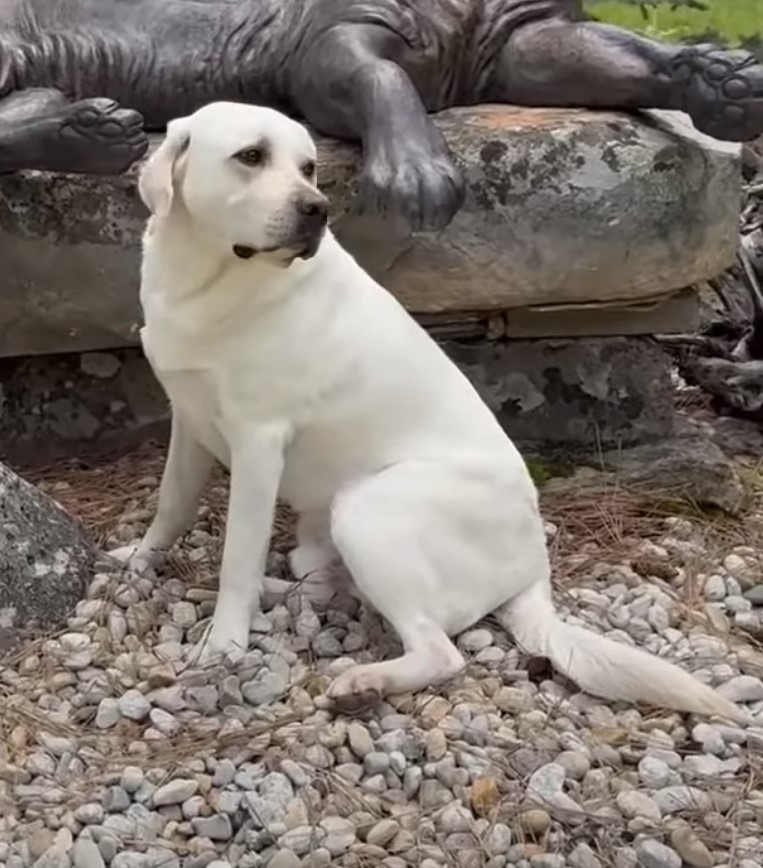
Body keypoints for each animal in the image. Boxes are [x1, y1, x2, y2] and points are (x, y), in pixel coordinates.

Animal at [112, 100, 740, 720]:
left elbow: (238, 556)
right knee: (324, 586)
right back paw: (284, 596)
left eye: (308, 167)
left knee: (438, 650)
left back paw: (364, 681)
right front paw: (140, 560)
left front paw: (224, 643)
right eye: (251, 156)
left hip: (366, 509)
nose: (318, 210)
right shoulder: (189, 419)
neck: (206, 276)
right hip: (328, 529)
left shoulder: (258, 443)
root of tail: (535, 566)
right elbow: (171, 503)